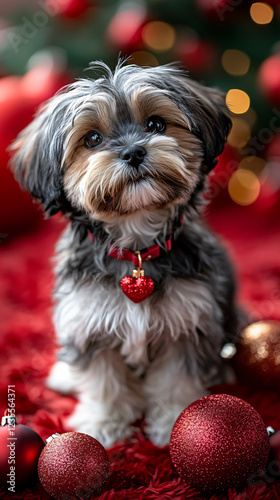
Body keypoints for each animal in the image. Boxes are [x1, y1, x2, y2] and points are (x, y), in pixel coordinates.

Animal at [10, 60, 238, 448]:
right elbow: (104, 383)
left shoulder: (188, 323)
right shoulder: (90, 325)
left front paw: (177, 420)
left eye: (156, 124)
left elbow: (176, 379)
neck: (136, 247)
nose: (133, 152)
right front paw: (103, 424)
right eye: (92, 139)